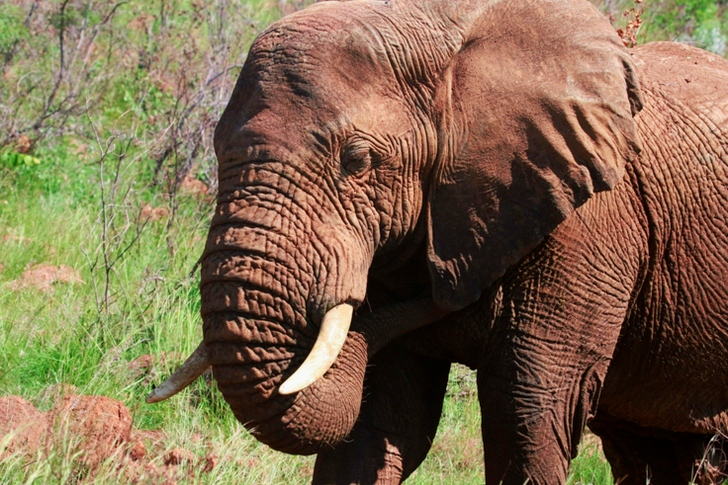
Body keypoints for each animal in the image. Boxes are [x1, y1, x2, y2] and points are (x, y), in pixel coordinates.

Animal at [147, 0, 728, 483]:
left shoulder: (588, 227)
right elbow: (382, 419)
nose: (449, 291)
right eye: (215, 149)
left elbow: (528, 410)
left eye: (358, 161)